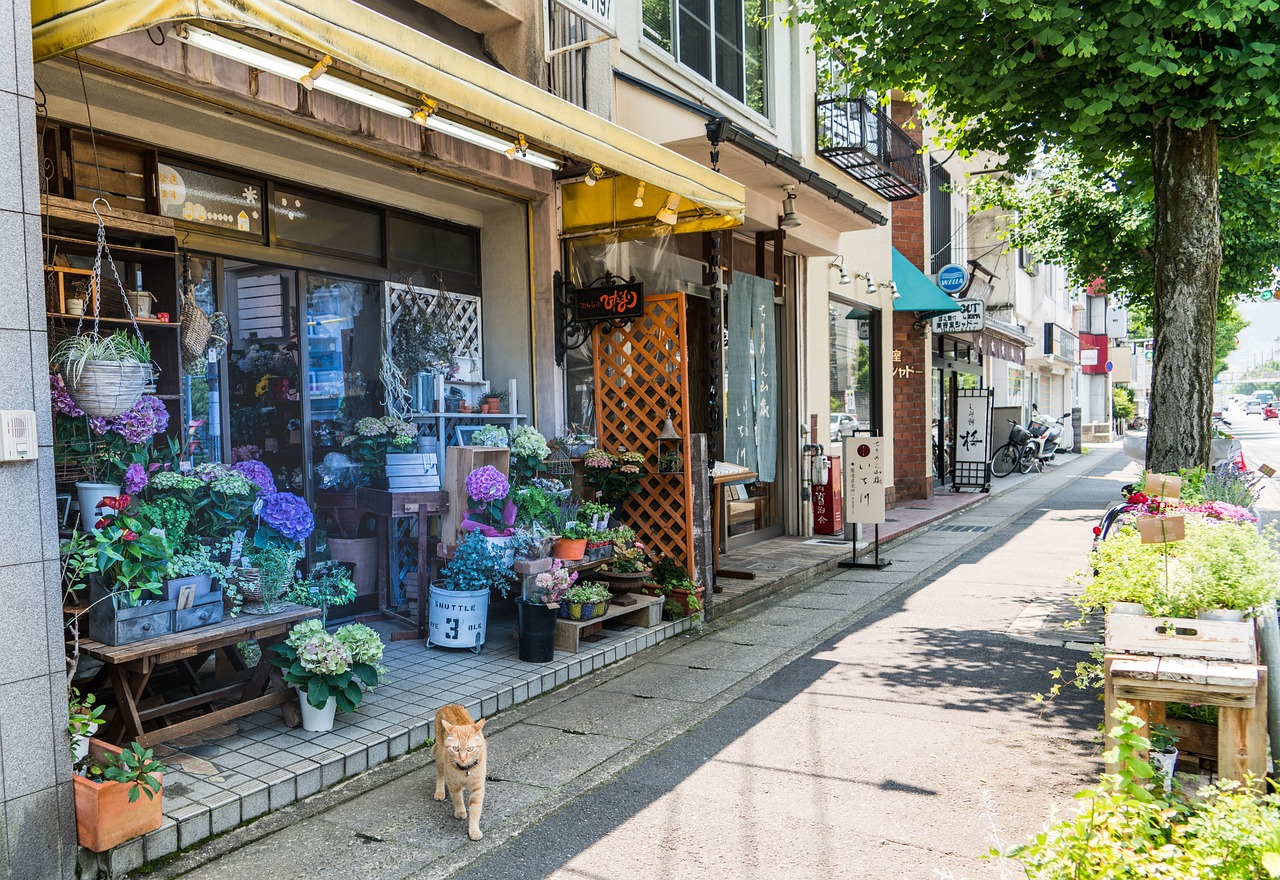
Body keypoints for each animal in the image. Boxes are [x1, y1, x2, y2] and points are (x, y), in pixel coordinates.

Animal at [432, 706, 486, 844]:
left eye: (470, 749)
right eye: (455, 749)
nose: (462, 758)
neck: (465, 770)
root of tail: (448, 705)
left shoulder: (478, 788)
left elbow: (475, 810)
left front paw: (474, 831)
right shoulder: (453, 784)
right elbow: (457, 798)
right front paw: (460, 811)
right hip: (440, 757)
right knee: (440, 774)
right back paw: (439, 792)